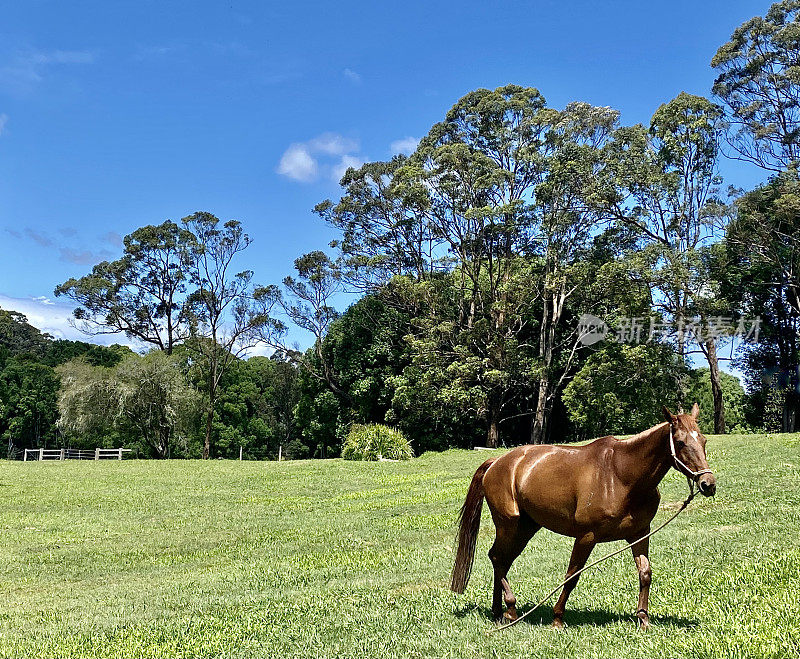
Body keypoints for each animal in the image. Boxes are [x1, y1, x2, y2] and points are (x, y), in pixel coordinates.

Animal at [450, 408, 720, 628]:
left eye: (703, 439)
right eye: (681, 442)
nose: (708, 484)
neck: (621, 475)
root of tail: (497, 462)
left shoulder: (640, 533)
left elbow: (645, 573)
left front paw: (643, 620)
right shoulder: (586, 537)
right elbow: (572, 576)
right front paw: (557, 618)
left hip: (526, 528)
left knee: (503, 560)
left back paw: (500, 611)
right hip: (509, 525)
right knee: (497, 558)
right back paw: (511, 609)